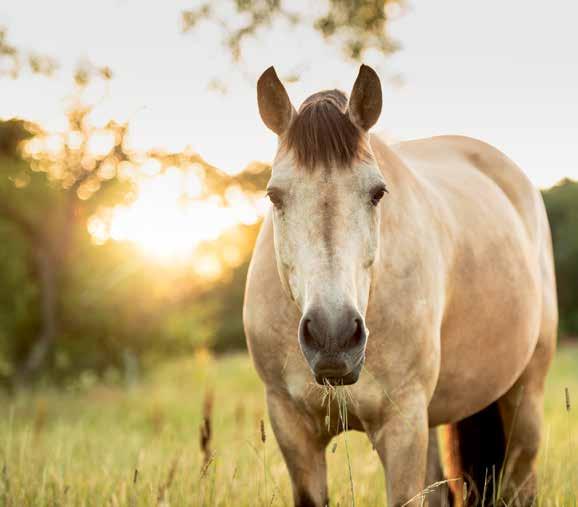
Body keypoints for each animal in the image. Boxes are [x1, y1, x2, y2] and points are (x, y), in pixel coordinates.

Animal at [242, 65, 552, 506]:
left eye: (377, 192)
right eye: (274, 195)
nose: (333, 336)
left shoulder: (402, 424)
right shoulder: (291, 425)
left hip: (525, 397)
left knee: (519, 480)